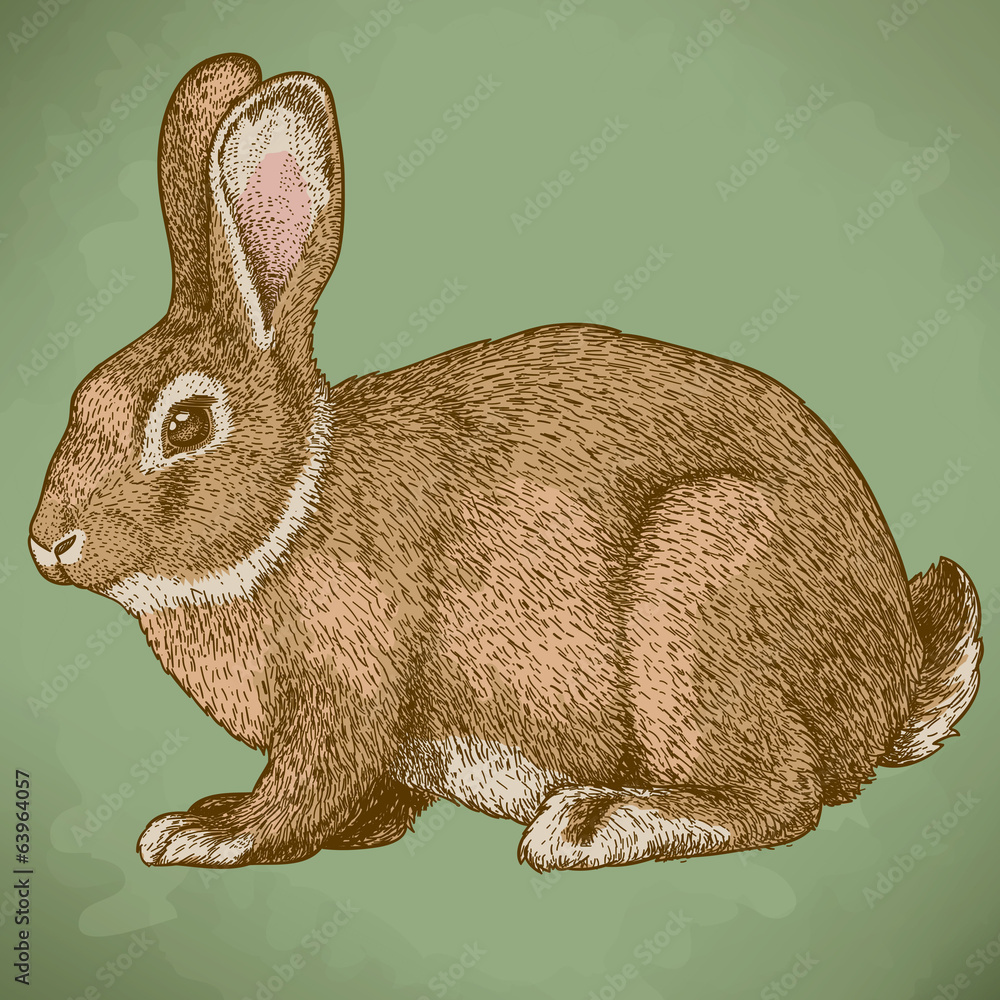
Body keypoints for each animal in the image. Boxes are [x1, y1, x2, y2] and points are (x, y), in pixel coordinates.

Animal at [29, 53, 983, 872]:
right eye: (81, 397)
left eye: (186, 423)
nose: (47, 544)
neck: (292, 507)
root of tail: (892, 689)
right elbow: (371, 797)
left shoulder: (348, 687)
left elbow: (310, 785)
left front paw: (209, 833)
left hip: (699, 588)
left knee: (784, 795)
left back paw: (598, 822)